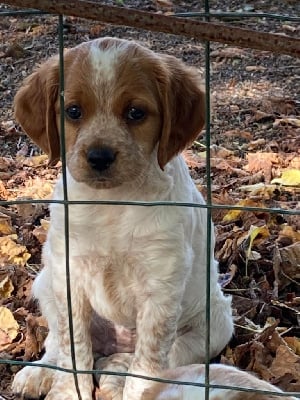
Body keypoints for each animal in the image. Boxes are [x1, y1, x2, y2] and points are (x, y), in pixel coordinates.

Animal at [11, 37, 233, 400]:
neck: (111, 204)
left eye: (135, 113)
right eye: (73, 111)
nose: (99, 157)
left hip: (215, 325)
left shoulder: (161, 285)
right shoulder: (68, 272)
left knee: (158, 356)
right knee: (58, 341)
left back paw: (116, 373)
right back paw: (41, 372)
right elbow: (74, 348)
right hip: (45, 282)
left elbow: (147, 365)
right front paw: (68, 392)